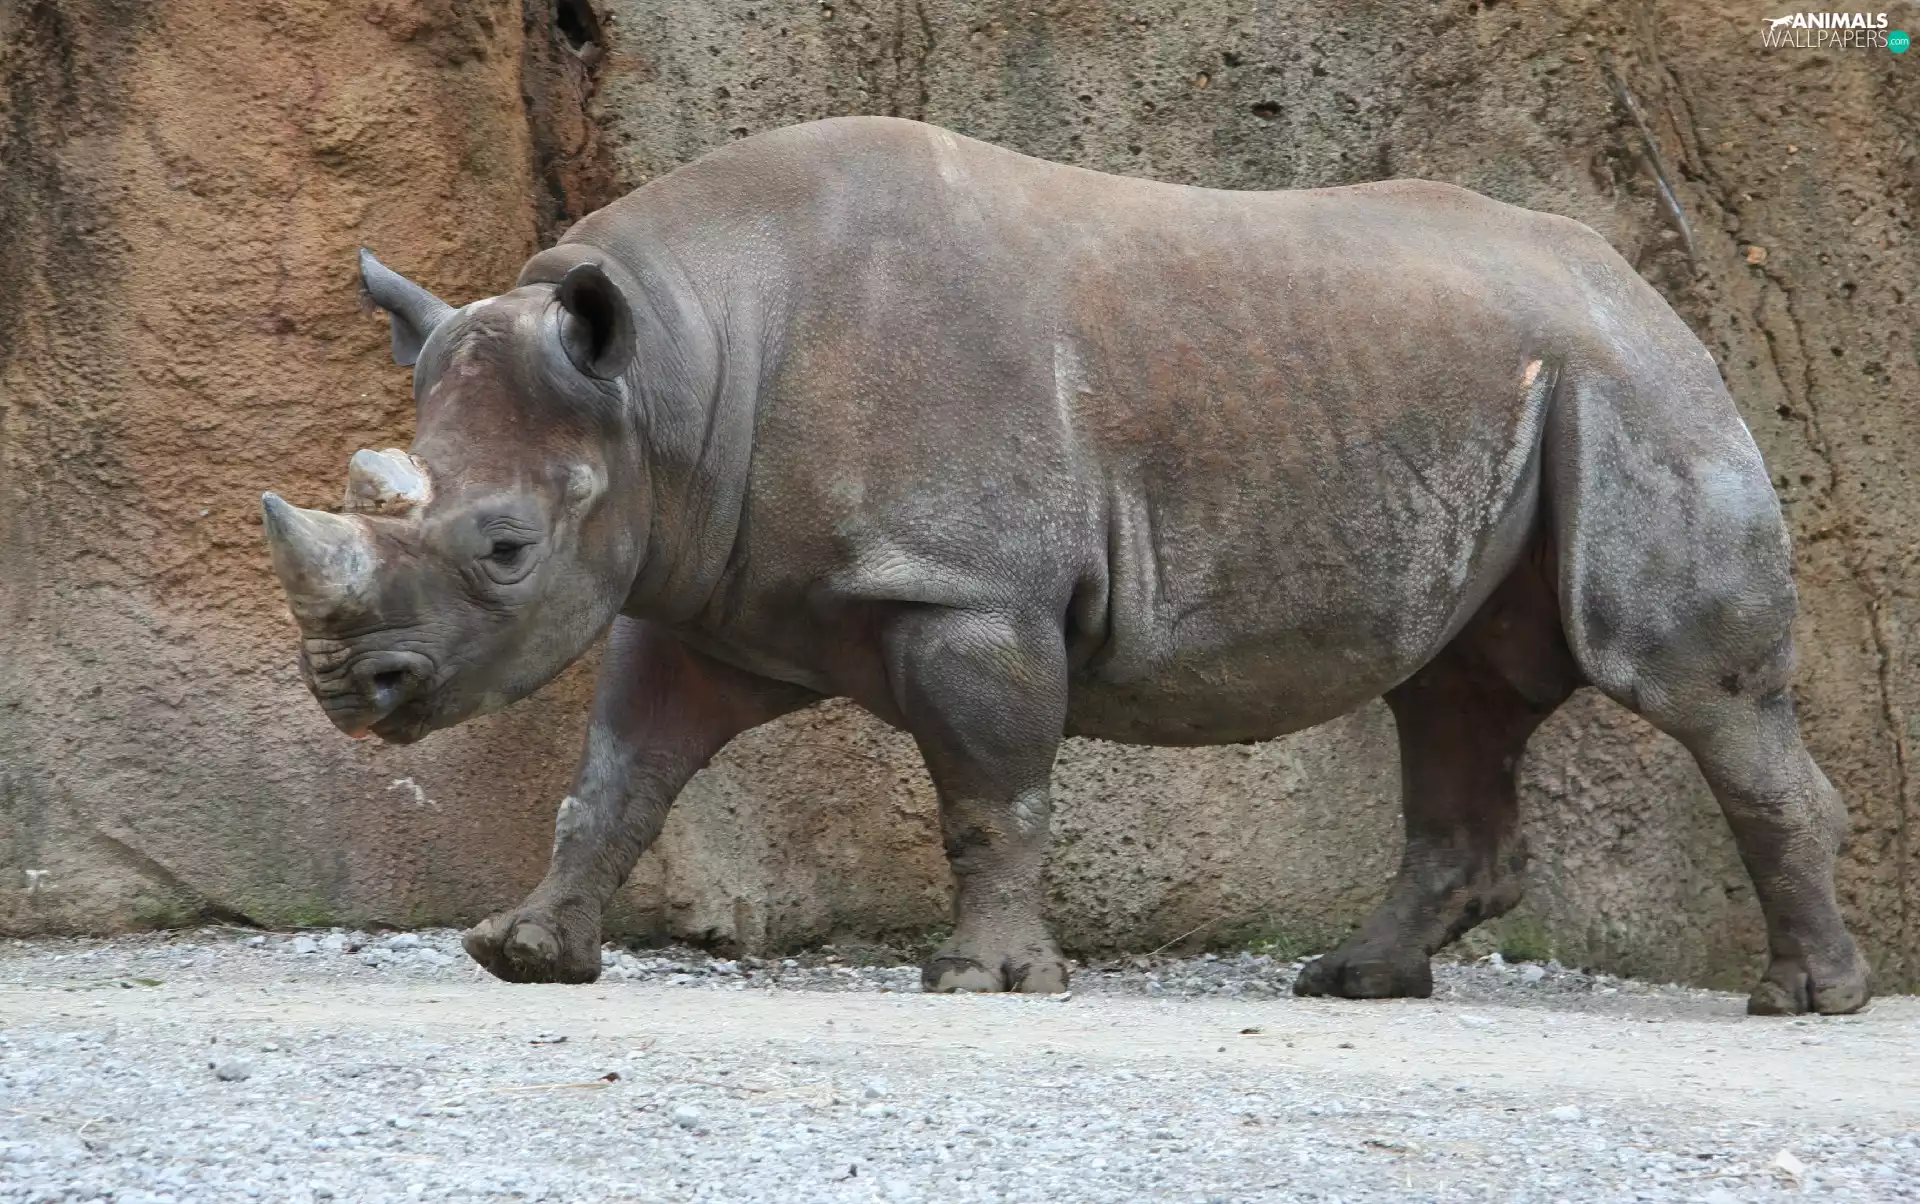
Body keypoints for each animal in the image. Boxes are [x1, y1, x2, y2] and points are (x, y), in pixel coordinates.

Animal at [260, 116, 1869, 1014]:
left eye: (505, 548)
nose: (347, 689)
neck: (667, 372)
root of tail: (1647, 284)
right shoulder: (703, 588)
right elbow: (620, 773)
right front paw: (525, 953)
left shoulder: (967, 587)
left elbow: (991, 791)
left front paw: (983, 982)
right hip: (1530, 385)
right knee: (1454, 691)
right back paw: (1356, 981)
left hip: (1638, 393)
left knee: (1682, 683)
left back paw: (1804, 1001)